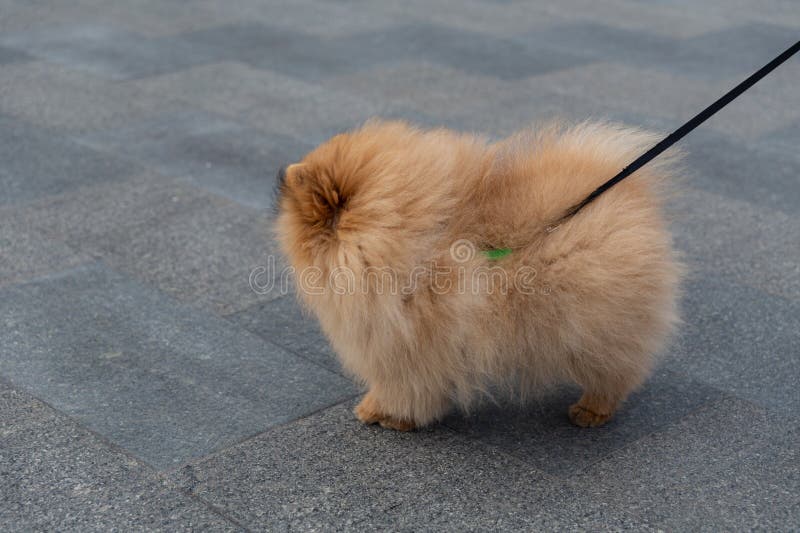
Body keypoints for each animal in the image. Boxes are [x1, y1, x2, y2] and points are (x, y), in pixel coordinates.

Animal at [276, 119, 680, 428]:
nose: (283, 178)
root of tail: (629, 195)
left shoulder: (404, 343)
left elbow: (402, 386)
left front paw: (383, 412)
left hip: (594, 325)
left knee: (615, 369)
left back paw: (591, 409)